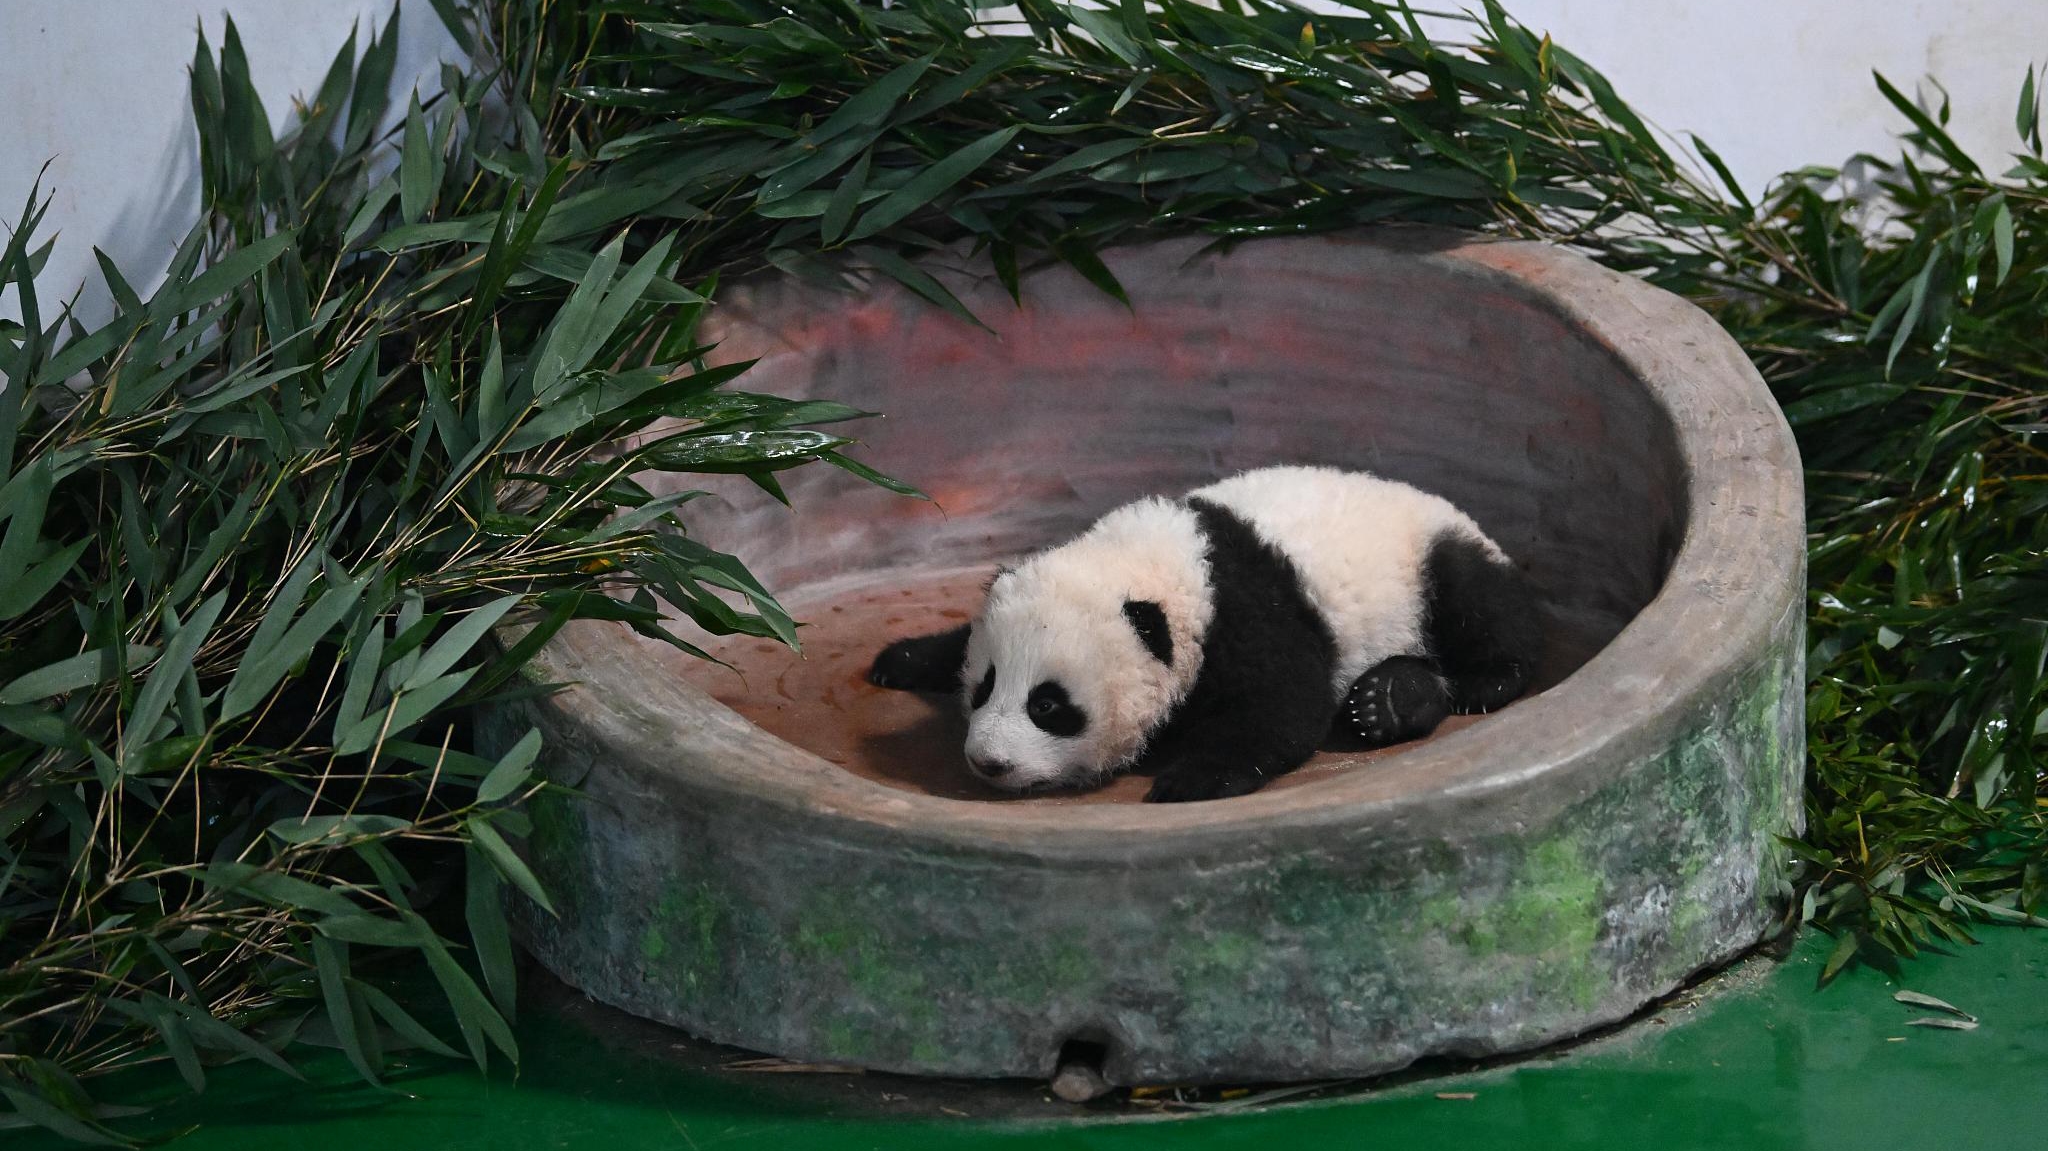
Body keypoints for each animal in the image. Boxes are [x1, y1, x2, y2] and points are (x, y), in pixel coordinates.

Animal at [867, 465, 1541, 803]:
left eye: (1049, 706)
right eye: (984, 687)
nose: (989, 763)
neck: (1171, 564)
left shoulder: (1250, 618)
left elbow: (1282, 708)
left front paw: (1191, 778)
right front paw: (903, 658)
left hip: (1426, 561)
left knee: (1476, 603)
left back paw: (1444, 689)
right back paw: (1389, 698)